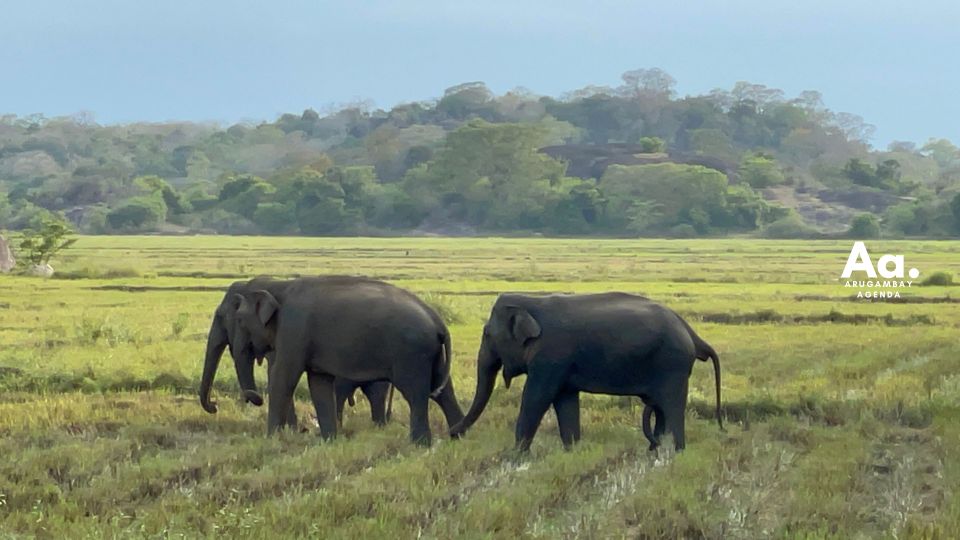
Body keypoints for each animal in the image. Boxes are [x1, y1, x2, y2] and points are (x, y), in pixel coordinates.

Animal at [199, 276, 394, 428]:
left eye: (221, 317)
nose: (215, 405)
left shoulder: (290, 332)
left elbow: (279, 375)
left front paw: (290, 430)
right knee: (375, 393)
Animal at [229, 276, 462, 446]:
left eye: (239, 319)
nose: (255, 398)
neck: (280, 285)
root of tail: (437, 320)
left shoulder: (294, 331)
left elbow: (283, 377)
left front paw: (270, 440)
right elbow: (319, 384)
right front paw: (328, 441)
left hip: (411, 354)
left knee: (415, 393)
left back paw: (419, 444)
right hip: (432, 355)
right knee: (443, 392)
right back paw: (458, 435)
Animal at [450, 292, 720, 452]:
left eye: (487, 334)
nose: (452, 434)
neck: (533, 300)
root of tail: (690, 332)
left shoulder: (550, 356)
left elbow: (536, 397)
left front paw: (516, 456)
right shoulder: (561, 366)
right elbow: (565, 401)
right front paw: (571, 452)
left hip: (672, 365)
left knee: (672, 406)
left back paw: (673, 453)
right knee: (662, 409)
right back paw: (654, 452)